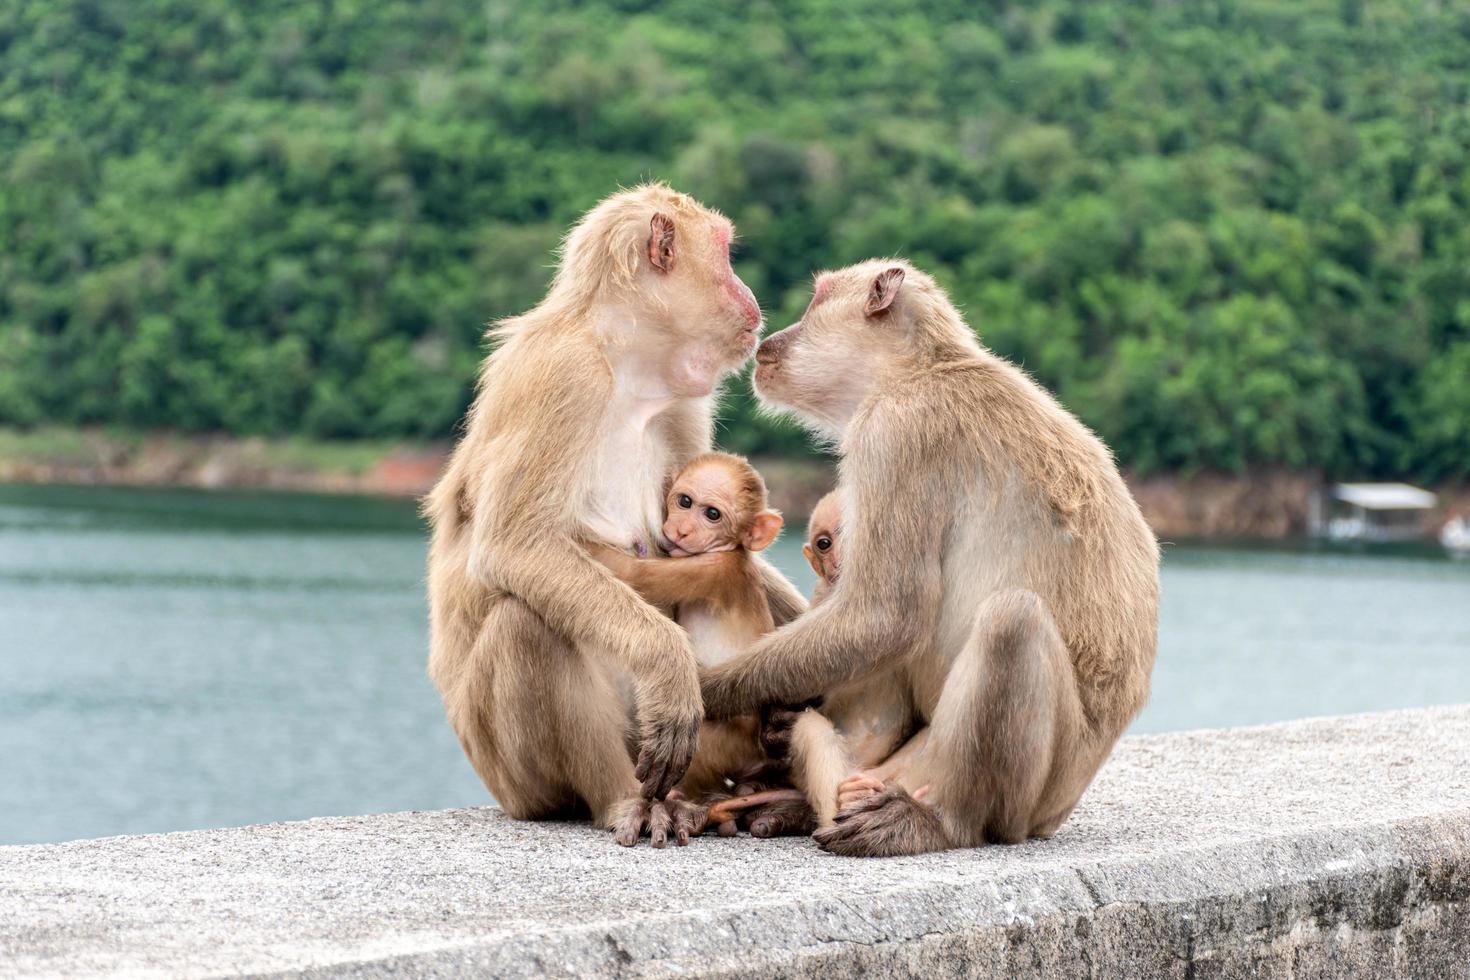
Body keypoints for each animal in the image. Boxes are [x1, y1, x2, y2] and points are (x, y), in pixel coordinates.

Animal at [426, 183, 811, 846]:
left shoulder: (681, 404)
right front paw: (668, 664)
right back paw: (622, 800)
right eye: (726, 253)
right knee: (526, 622)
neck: (623, 365)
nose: (751, 294)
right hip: (514, 775)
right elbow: (517, 547)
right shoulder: (567, 377)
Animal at [699, 260, 1158, 858]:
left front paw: (700, 692)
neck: (917, 370)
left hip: (1031, 785)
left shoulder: (895, 433)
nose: (771, 341)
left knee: (1010, 621)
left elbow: (885, 616)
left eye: (815, 301)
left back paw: (941, 823)